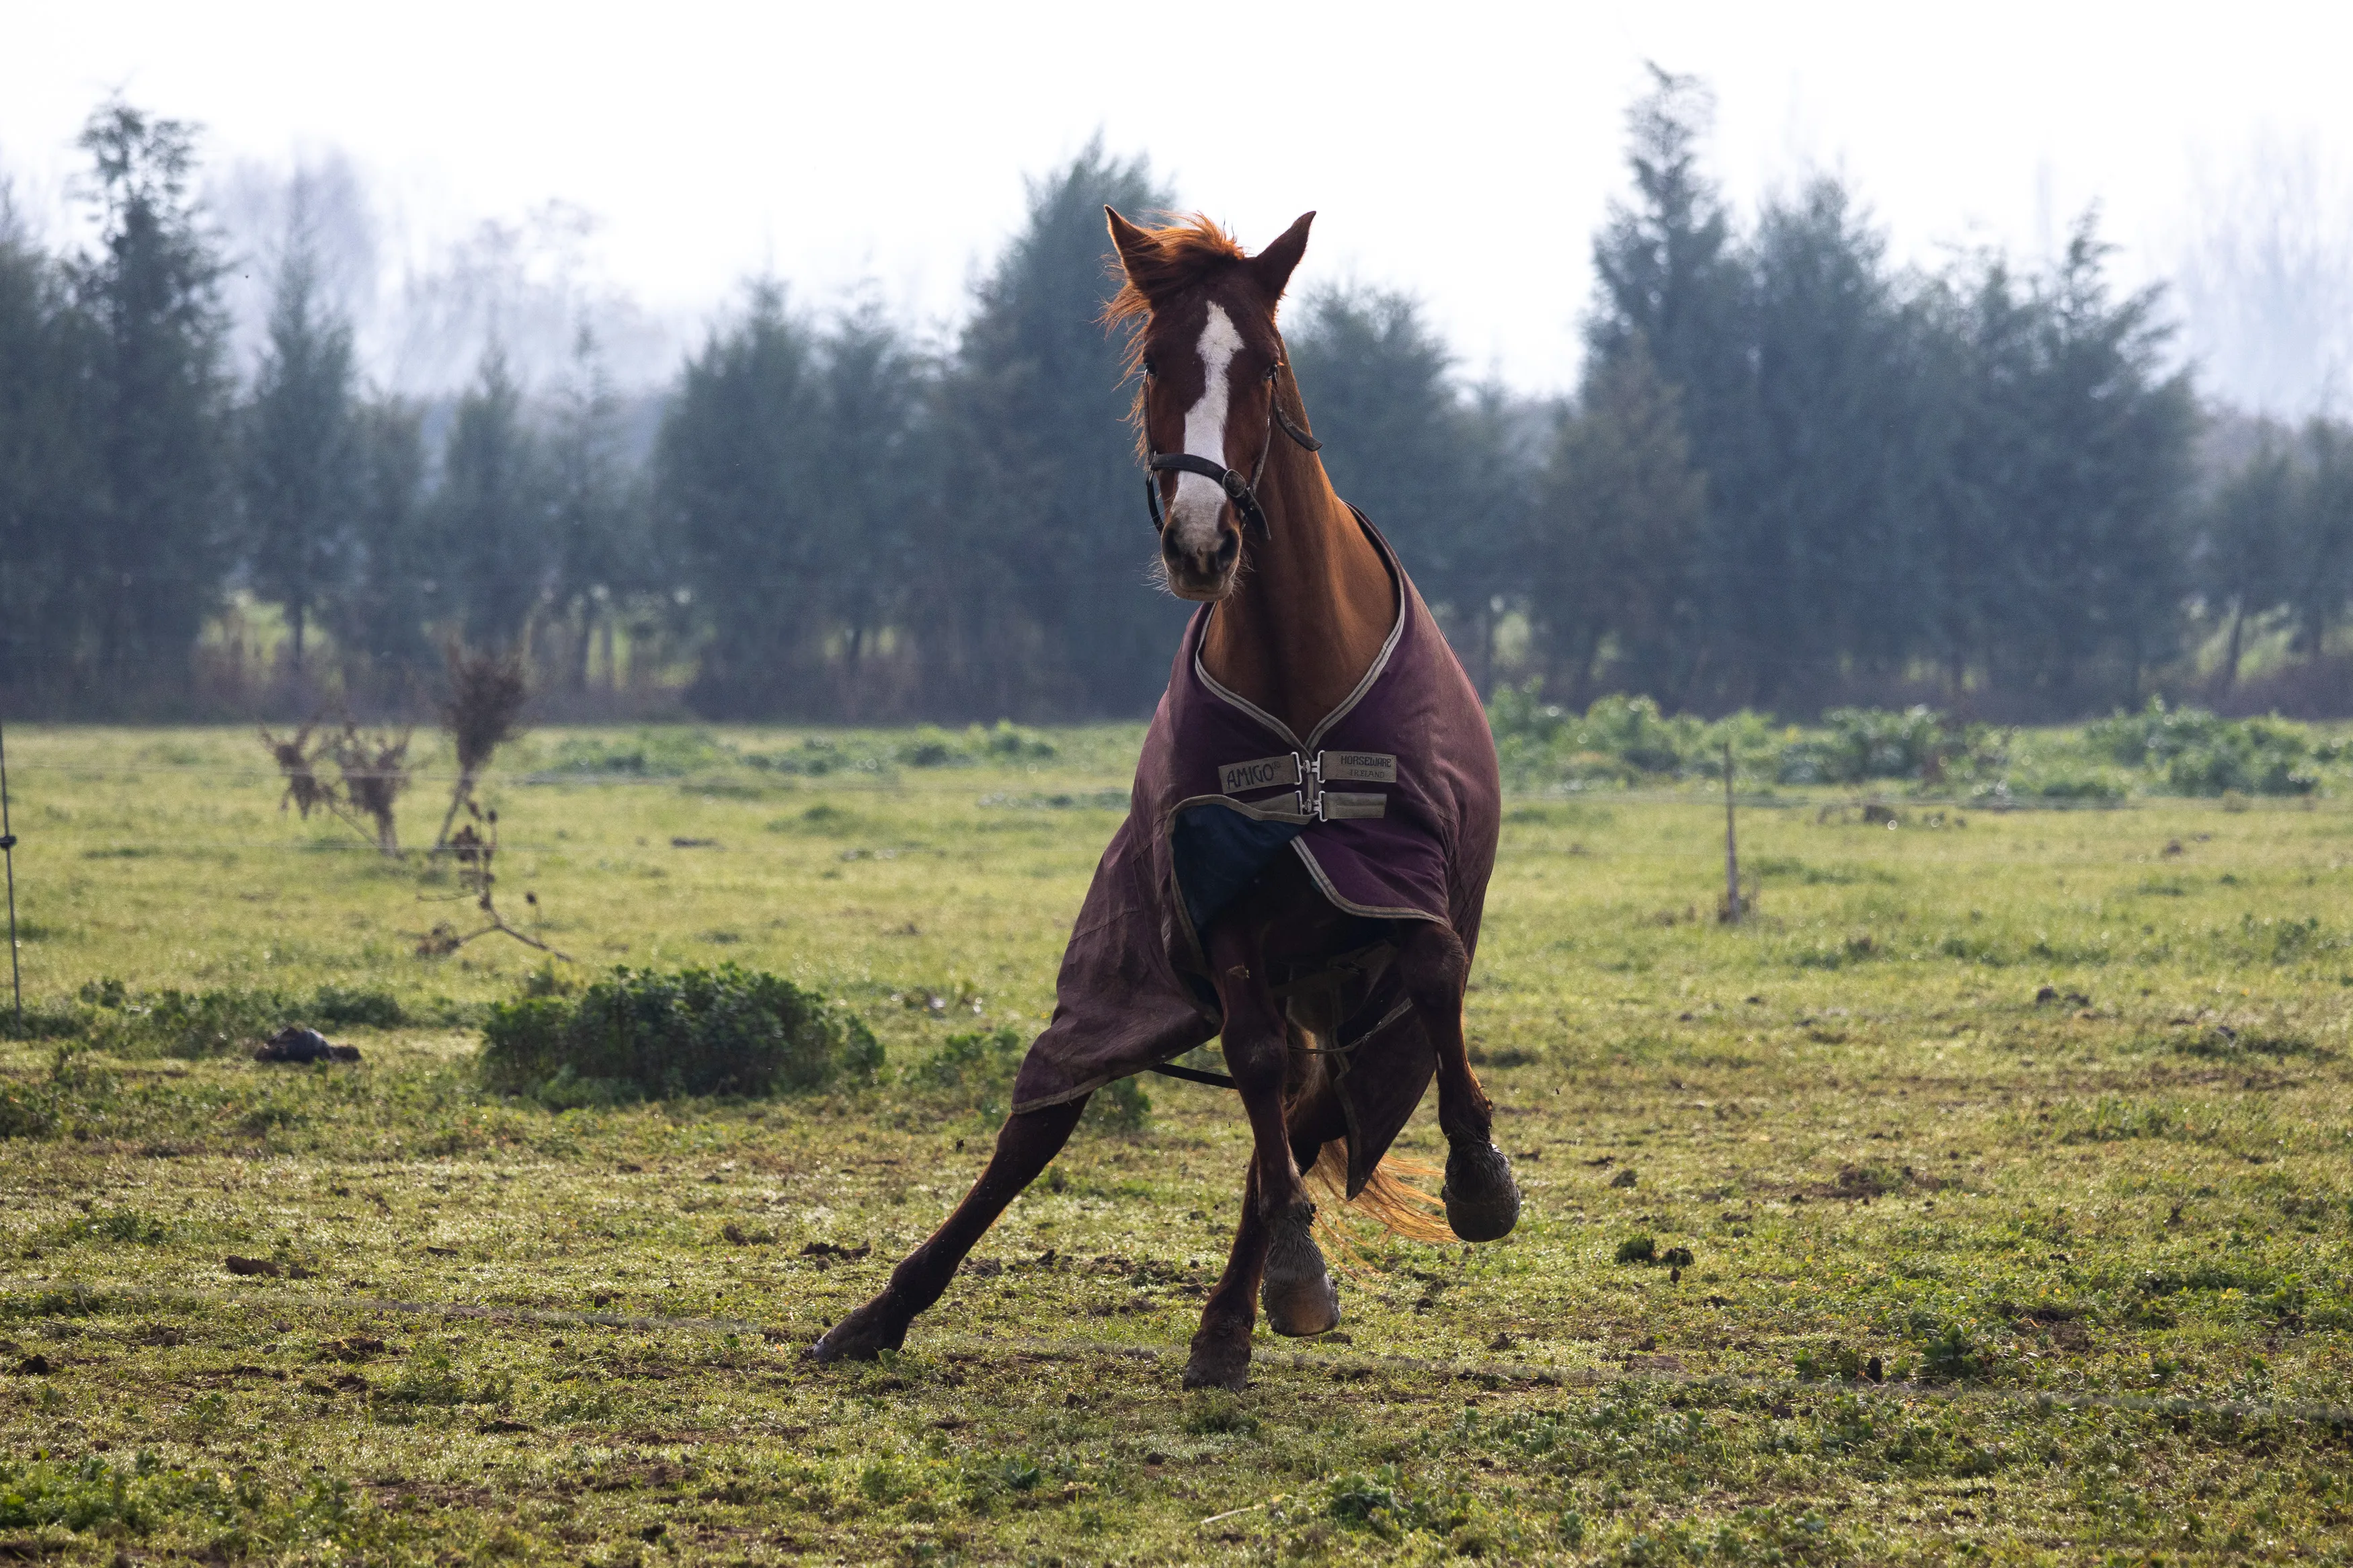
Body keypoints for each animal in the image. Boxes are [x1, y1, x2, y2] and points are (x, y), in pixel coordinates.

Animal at [811, 209, 1518, 1390]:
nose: (1200, 542)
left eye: (1266, 365)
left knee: (1306, 1111)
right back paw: (890, 1311)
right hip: (1145, 974)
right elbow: (1253, 1071)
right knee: (1054, 1119)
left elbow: (1431, 973)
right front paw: (1289, 1269)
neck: (1300, 692)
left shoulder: (1407, 880)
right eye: (1154, 363)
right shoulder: (1220, 897)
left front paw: (1477, 1175)